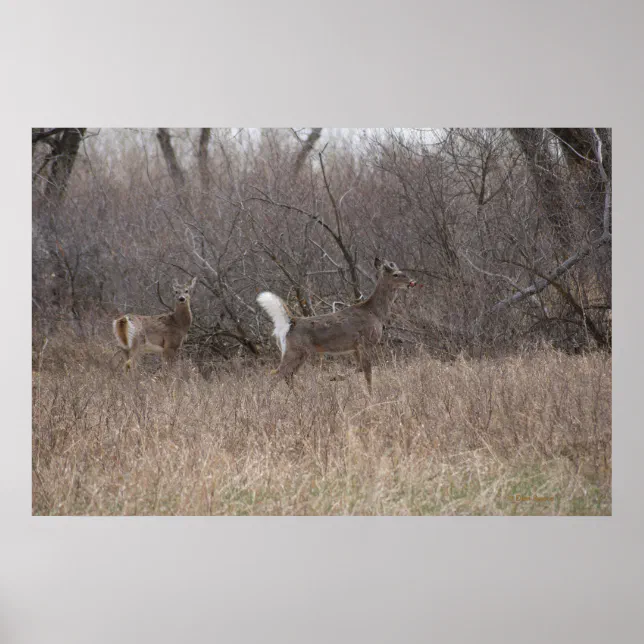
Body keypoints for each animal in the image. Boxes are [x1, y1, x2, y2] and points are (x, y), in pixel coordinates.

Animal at [256, 258, 417, 394]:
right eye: (396, 274)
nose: (412, 282)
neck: (376, 313)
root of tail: (290, 322)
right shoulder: (365, 342)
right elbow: (367, 373)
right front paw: (371, 395)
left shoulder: (355, 347)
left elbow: (359, 368)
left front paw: (335, 377)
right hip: (295, 351)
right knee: (276, 374)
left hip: (300, 353)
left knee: (287, 375)